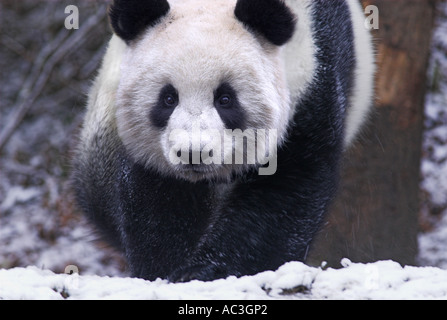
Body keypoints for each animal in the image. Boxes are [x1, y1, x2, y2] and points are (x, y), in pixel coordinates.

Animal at [72, 0, 374, 282]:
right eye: (168, 98)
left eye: (225, 99)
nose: (193, 152)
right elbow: (158, 199)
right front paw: (166, 268)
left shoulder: (313, 84)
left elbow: (284, 194)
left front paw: (207, 270)